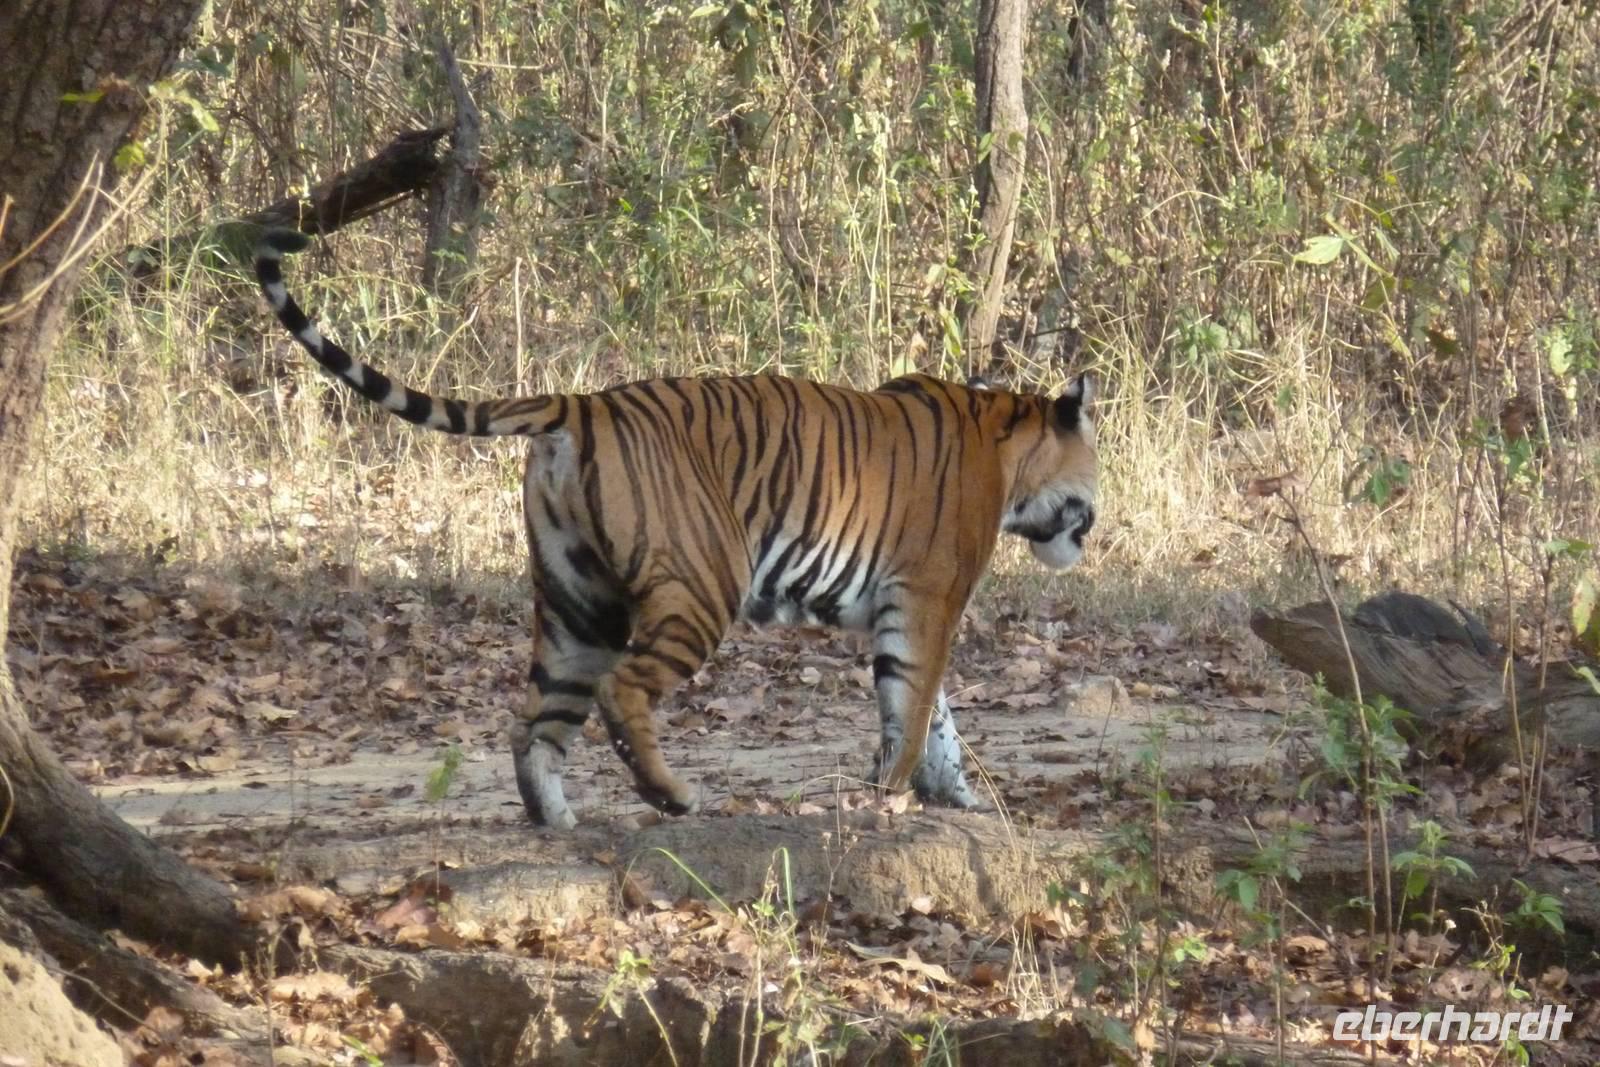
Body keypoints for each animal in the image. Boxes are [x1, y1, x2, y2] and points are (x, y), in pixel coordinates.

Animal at [254, 229, 1098, 830]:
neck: (1008, 444)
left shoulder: (908, 605)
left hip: (576, 599)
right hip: (702, 582)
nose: (1095, 522)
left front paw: (957, 796)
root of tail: (580, 403)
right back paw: (673, 797)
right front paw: (892, 793)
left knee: (535, 719)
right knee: (621, 690)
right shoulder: (928, 598)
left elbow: (938, 713)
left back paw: (554, 817)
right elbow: (915, 705)